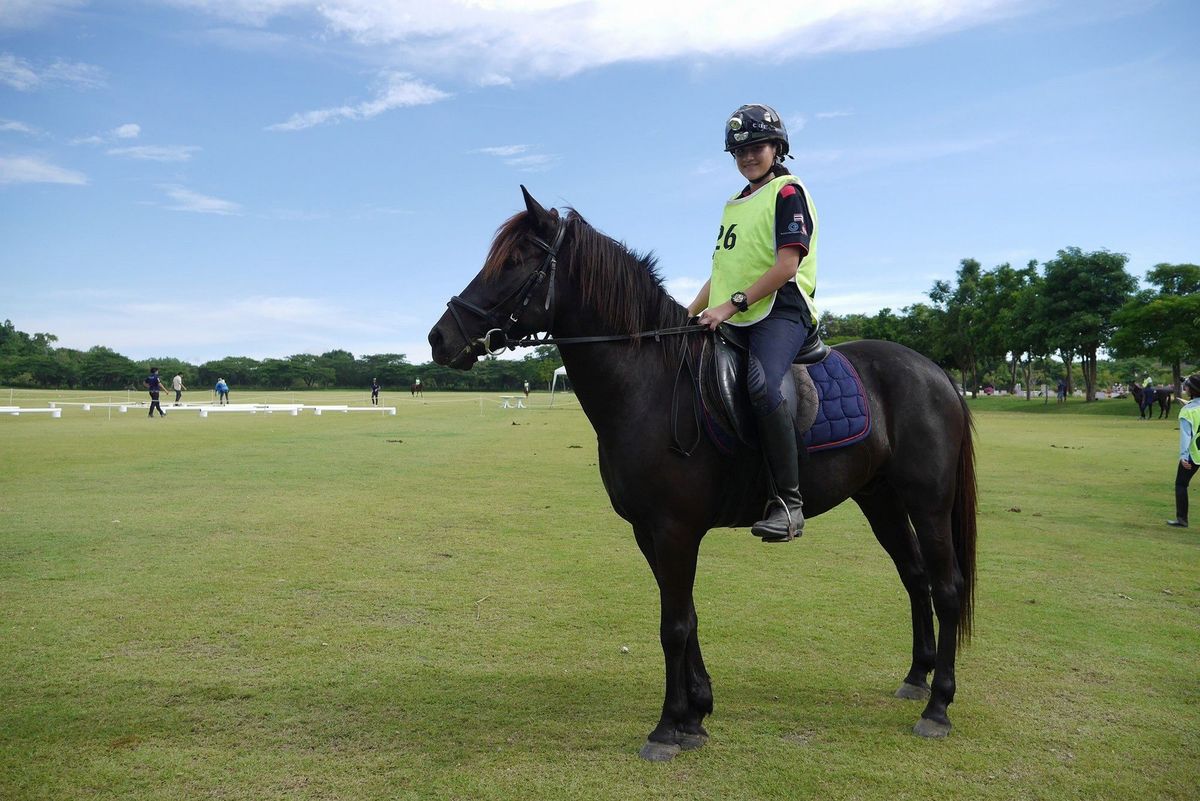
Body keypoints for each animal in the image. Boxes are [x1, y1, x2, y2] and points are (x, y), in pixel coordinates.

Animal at [428, 188, 978, 761]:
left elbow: (673, 624)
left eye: (515, 261)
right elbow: (686, 617)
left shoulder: (675, 529)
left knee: (947, 586)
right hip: (881, 499)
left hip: (929, 503)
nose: (439, 338)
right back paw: (916, 676)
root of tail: (938, 373)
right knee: (914, 576)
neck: (648, 383)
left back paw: (938, 705)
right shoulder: (648, 531)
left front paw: (668, 727)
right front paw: (696, 714)